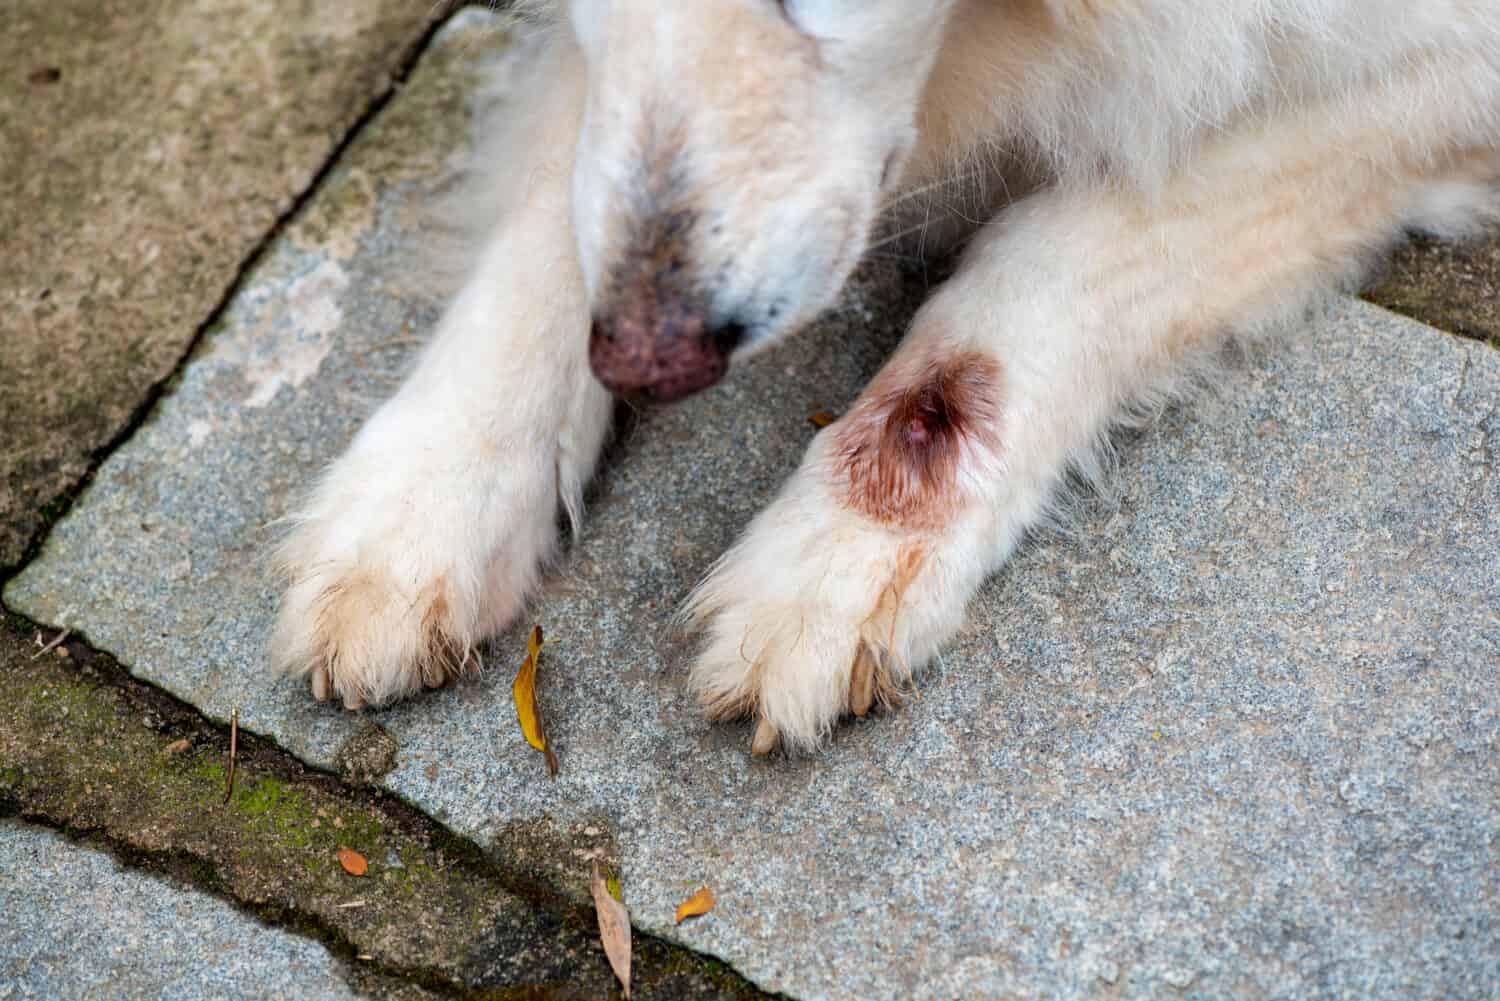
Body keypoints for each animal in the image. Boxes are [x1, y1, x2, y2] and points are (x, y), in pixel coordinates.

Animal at [273, 0, 1500, 750]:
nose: (648, 361)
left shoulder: (1434, 70)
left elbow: (1065, 243)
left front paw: (837, 556)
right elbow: (562, 206)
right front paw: (428, 496)